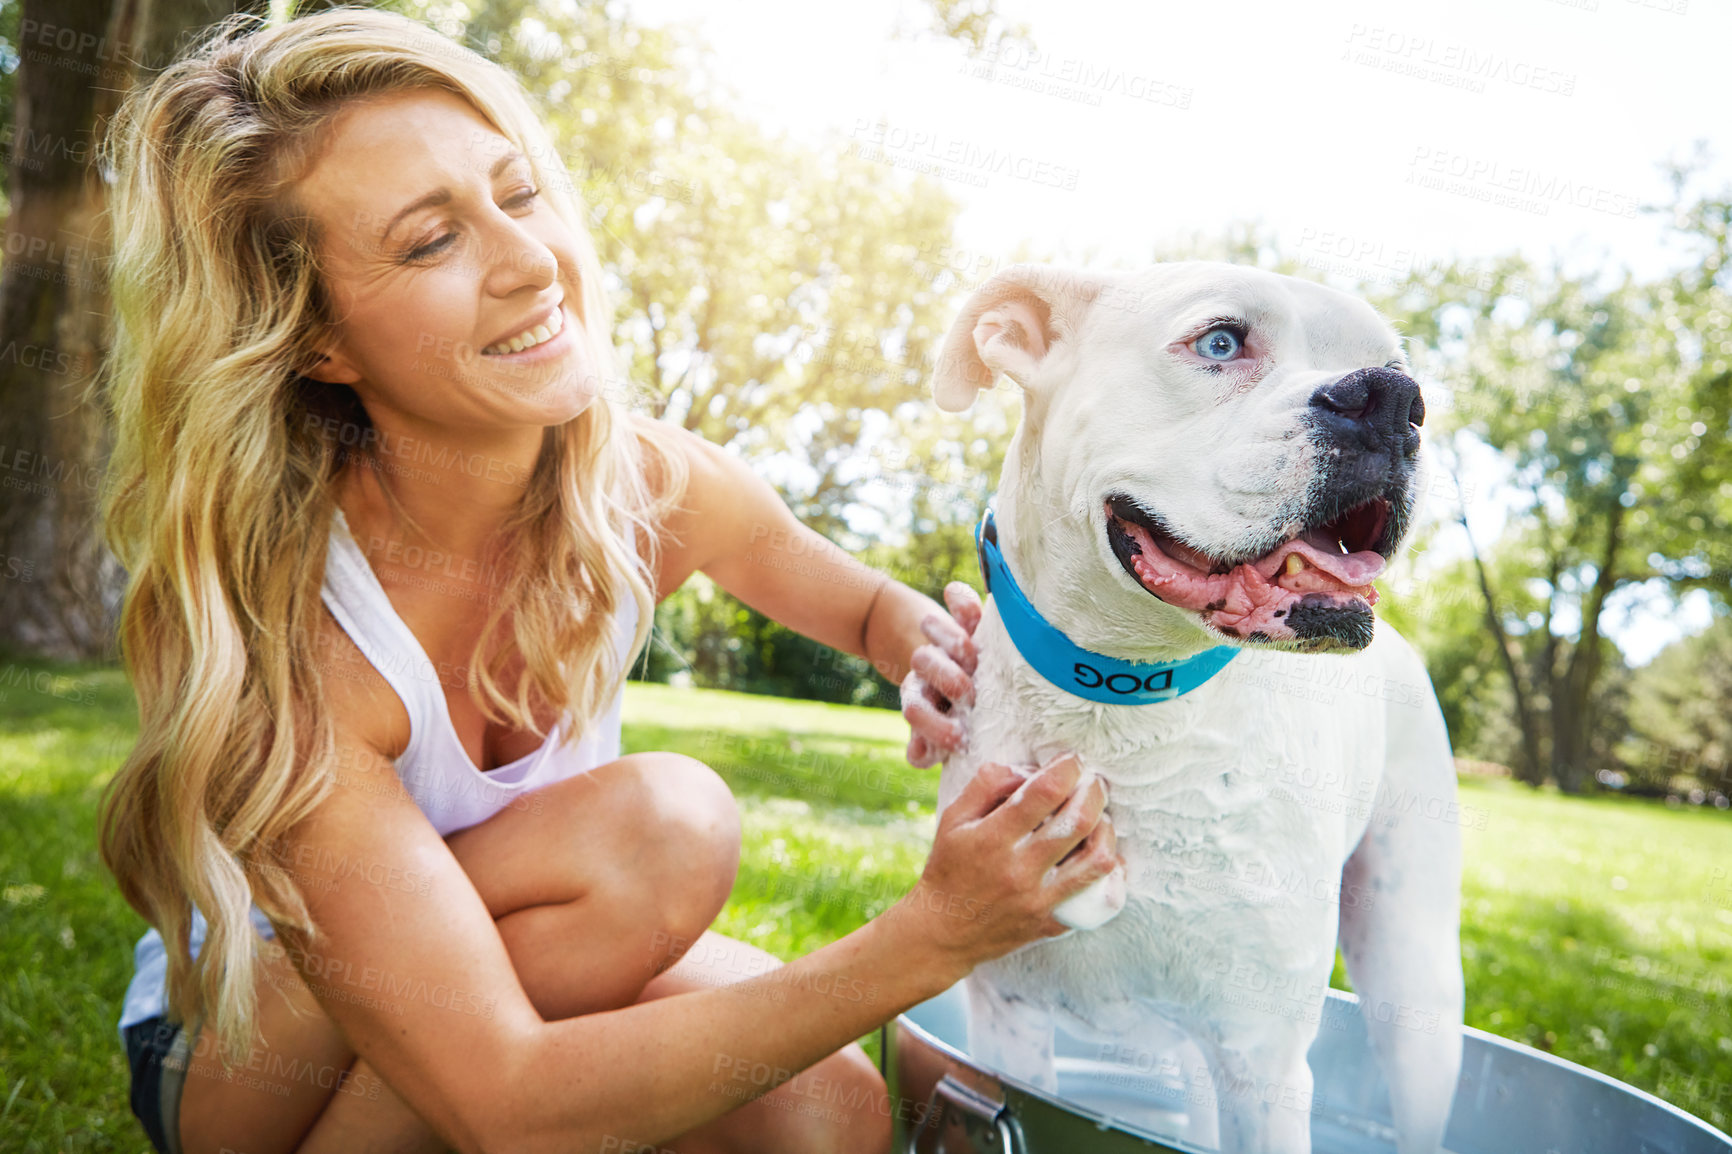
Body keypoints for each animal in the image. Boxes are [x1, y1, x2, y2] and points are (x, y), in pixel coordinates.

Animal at [935, 259, 1461, 1150]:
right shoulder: (1007, 1016)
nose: (1394, 400)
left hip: (1416, 986)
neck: (1117, 702)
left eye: (1396, 365)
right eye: (1220, 342)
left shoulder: (1265, 1066)